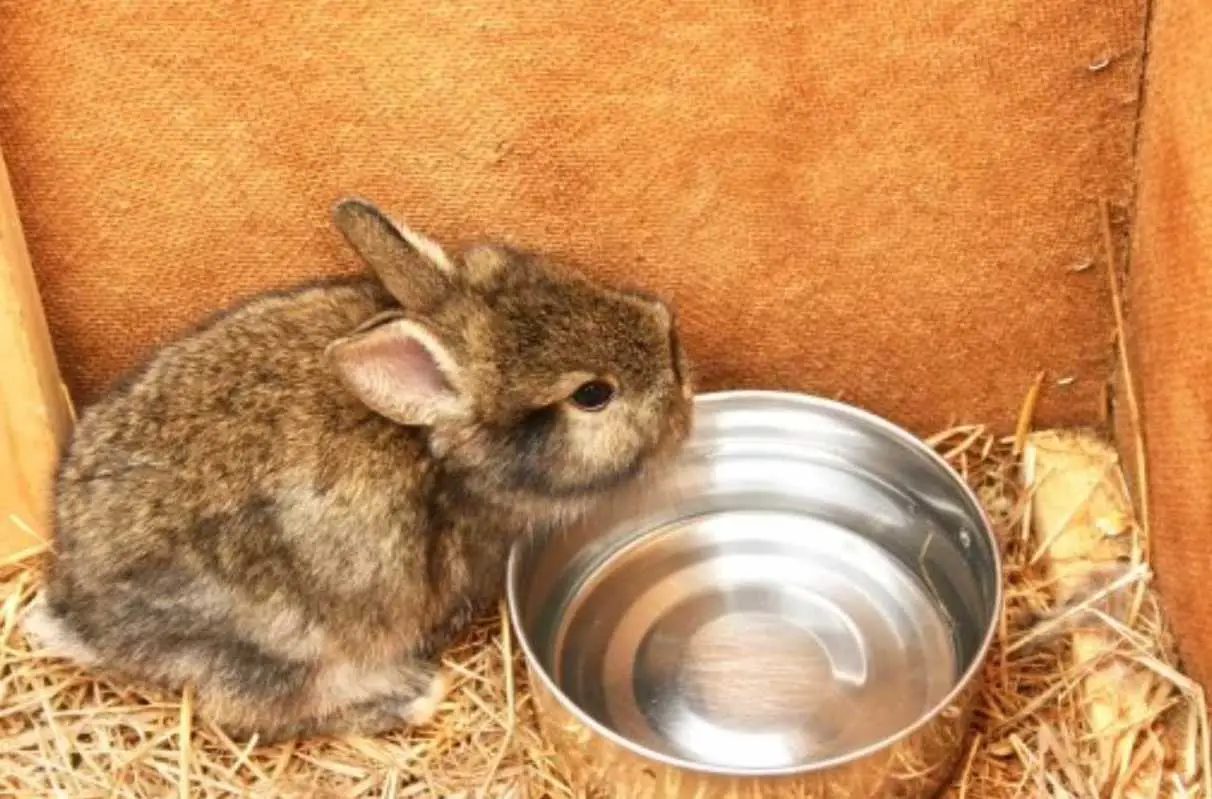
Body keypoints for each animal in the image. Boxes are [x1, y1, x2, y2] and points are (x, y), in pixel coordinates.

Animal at [23, 196, 698, 746]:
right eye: (591, 394)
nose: (678, 361)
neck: (440, 453)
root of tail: (80, 614)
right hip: (283, 645)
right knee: (248, 713)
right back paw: (411, 697)